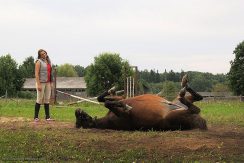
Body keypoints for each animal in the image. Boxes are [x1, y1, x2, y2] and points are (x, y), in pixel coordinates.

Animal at [75, 75, 207, 131]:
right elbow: (108, 103)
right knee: (195, 108)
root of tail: (202, 123)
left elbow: (103, 99)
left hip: (176, 103)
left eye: (81, 117)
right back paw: (182, 91)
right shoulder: (124, 115)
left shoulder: (119, 100)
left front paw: (113, 90)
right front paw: (126, 106)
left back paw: (185, 83)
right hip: (174, 115)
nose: (77, 111)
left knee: (197, 97)